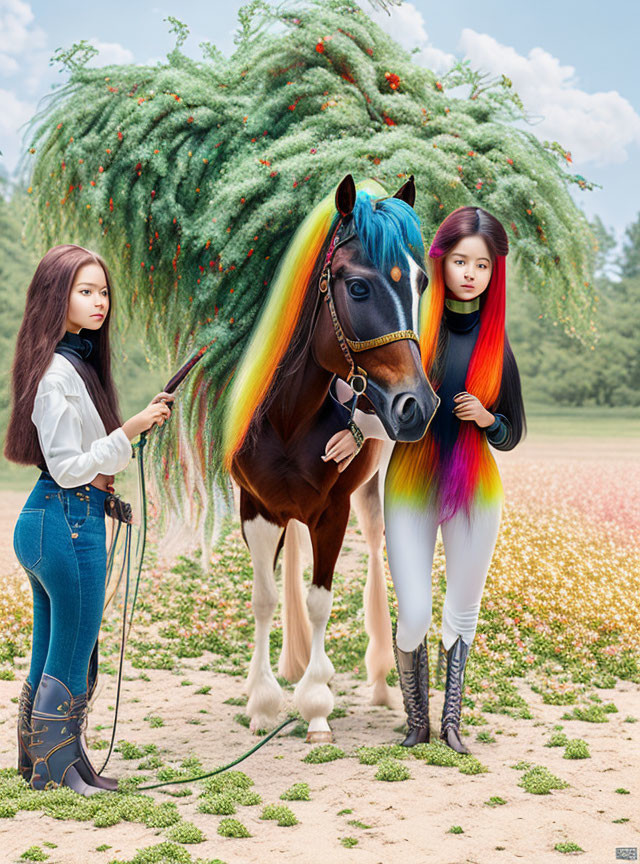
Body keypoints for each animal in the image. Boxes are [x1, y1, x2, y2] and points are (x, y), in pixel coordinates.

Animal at [222, 176, 438, 744]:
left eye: (422, 283)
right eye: (358, 288)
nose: (417, 405)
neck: (287, 419)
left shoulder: (332, 512)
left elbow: (321, 600)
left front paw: (316, 707)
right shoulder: (255, 508)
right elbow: (264, 598)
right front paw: (263, 704)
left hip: (368, 495)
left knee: (377, 561)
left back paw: (383, 685)